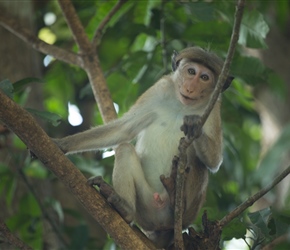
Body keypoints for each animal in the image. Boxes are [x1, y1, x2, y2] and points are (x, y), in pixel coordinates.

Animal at [52, 47, 233, 248]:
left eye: (204, 77)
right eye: (191, 71)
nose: (190, 88)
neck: (182, 105)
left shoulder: (214, 107)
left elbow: (214, 161)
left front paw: (195, 126)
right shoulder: (160, 88)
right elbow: (124, 129)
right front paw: (61, 144)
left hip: (185, 215)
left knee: (196, 163)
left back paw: (174, 196)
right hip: (146, 209)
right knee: (124, 150)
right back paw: (125, 208)